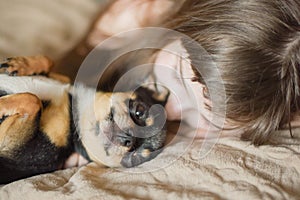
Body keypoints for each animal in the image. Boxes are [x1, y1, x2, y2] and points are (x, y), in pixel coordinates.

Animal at [0, 55, 169, 184]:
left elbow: (32, 100)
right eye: (139, 112)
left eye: (135, 157)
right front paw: (22, 64)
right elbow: (48, 60)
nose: (130, 139)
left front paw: (1, 104)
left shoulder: (14, 149)